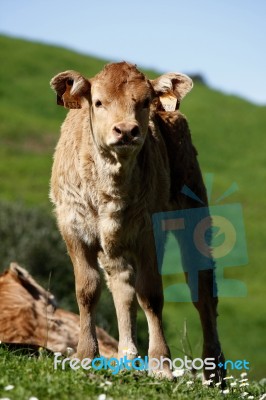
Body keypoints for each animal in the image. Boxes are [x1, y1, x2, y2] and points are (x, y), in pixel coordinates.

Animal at [50, 62, 224, 382]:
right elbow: (88, 289)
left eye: (144, 102)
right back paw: (127, 357)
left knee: (203, 289)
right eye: (98, 102)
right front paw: (86, 355)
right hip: (113, 246)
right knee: (122, 287)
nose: (126, 130)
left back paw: (215, 371)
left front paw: (161, 364)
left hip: (194, 214)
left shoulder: (149, 233)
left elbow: (151, 294)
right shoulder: (73, 228)